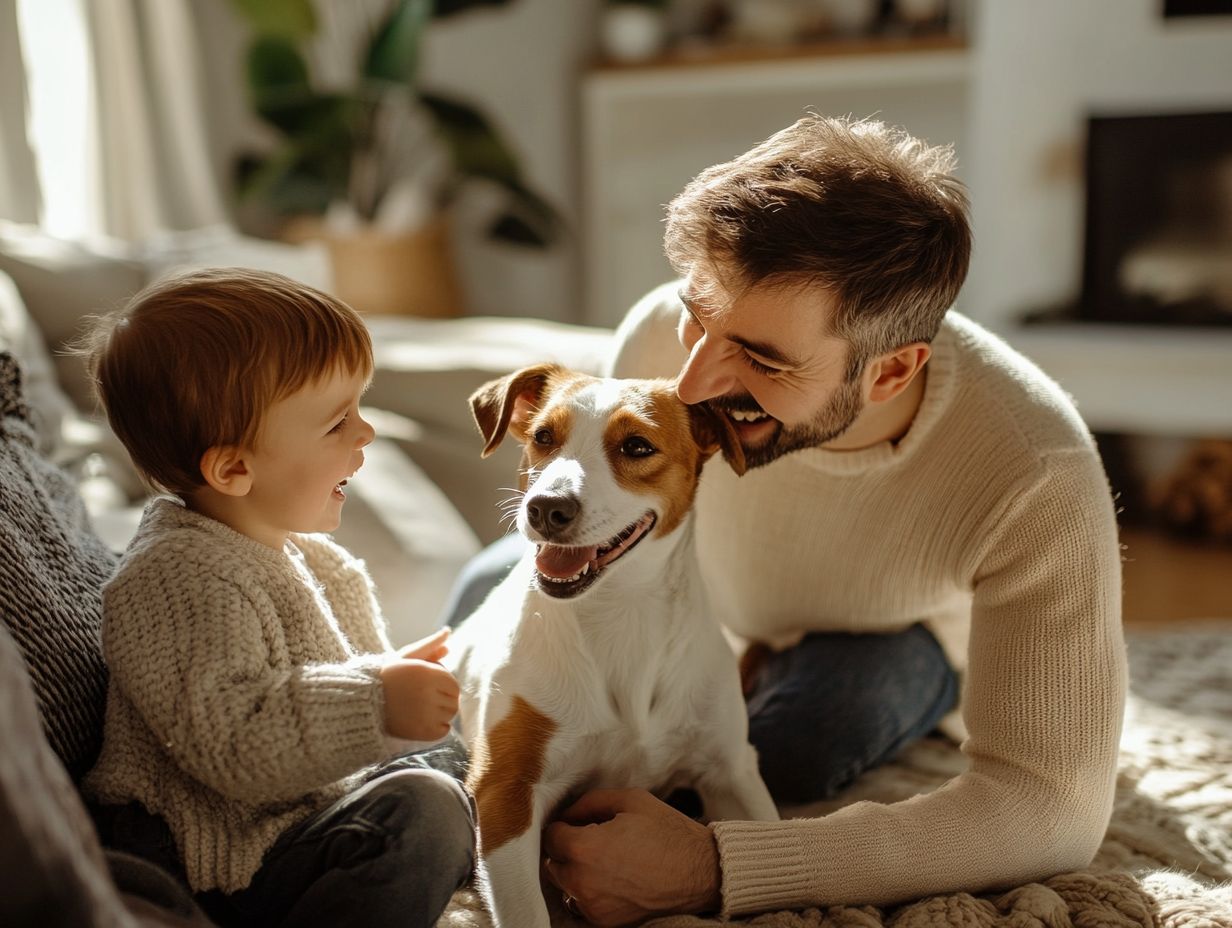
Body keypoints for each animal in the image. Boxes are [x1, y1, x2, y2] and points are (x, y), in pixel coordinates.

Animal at [445, 362, 778, 926]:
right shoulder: (505, 793)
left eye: (637, 446)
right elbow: (528, 912)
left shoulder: (731, 770)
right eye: (543, 437)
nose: (546, 508)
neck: (622, 612)